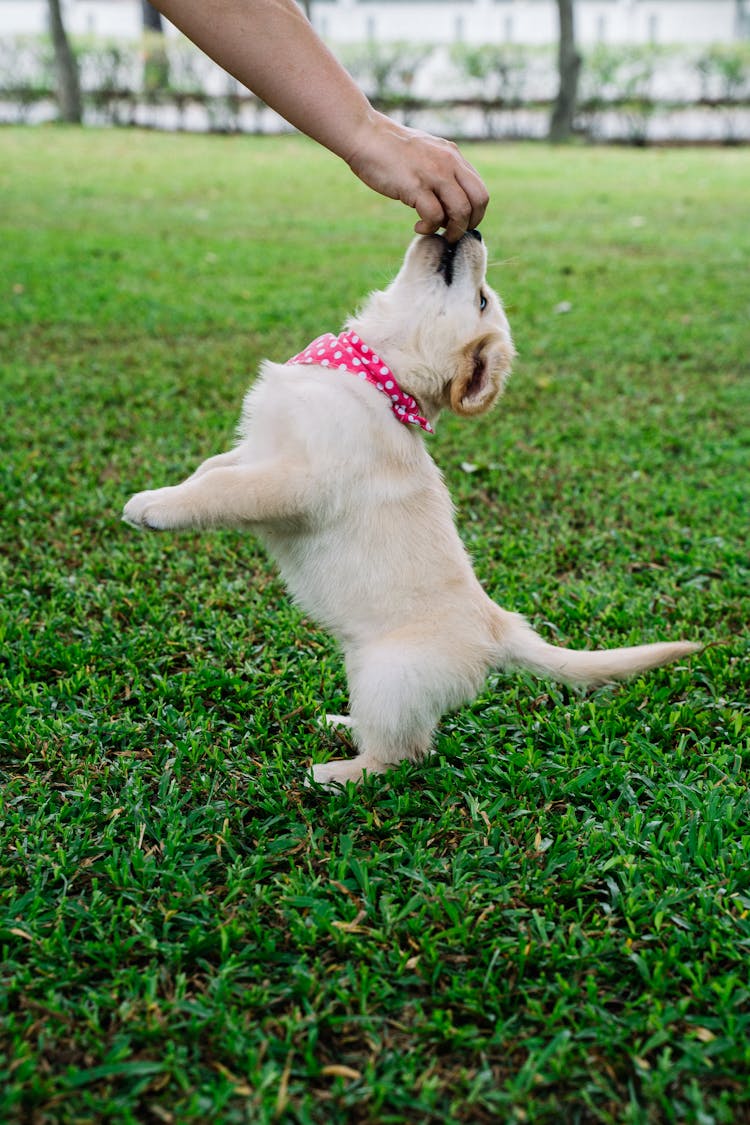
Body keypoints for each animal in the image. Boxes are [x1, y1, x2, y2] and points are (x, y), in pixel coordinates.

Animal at [124, 232, 706, 787]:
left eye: (481, 298)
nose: (475, 229)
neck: (375, 374)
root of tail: (498, 626)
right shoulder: (257, 451)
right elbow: (213, 468)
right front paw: (171, 487)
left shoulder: (295, 481)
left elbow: (222, 489)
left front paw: (153, 507)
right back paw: (342, 724)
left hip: (388, 678)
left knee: (404, 755)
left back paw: (336, 774)